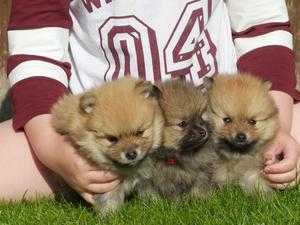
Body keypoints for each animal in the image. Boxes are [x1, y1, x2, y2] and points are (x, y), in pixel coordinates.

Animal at [51, 77, 164, 214]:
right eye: (112, 139)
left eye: (139, 132)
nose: (131, 154)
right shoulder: (106, 185)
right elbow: (109, 199)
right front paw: (110, 214)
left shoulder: (147, 174)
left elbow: (150, 189)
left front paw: (155, 205)